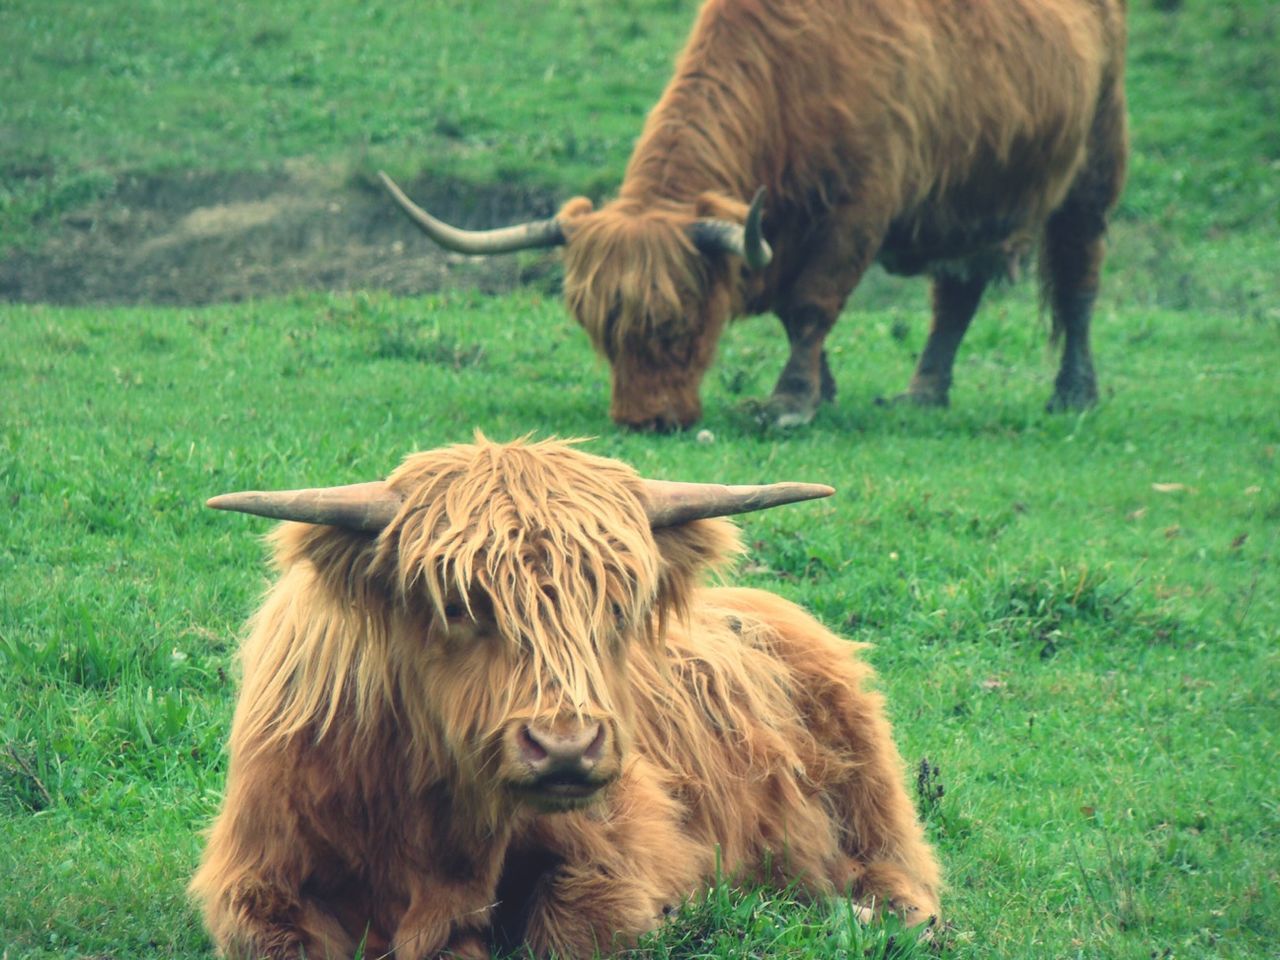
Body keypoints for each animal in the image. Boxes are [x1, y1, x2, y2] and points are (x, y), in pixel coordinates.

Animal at [189, 437, 942, 960]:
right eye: (457, 603)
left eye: (618, 605)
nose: (565, 747)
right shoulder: (258, 881)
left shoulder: (618, 862)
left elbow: (565, 932)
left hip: (868, 794)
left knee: (897, 869)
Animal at [381, 0, 1131, 430]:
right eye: (598, 328)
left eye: (679, 321)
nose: (644, 421)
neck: (793, 76)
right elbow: (792, 312)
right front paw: (822, 390)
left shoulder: (859, 210)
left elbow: (810, 306)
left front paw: (789, 402)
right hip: (967, 194)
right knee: (956, 294)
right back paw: (923, 393)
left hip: (1094, 163)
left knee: (1079, 280)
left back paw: (1074, 394)